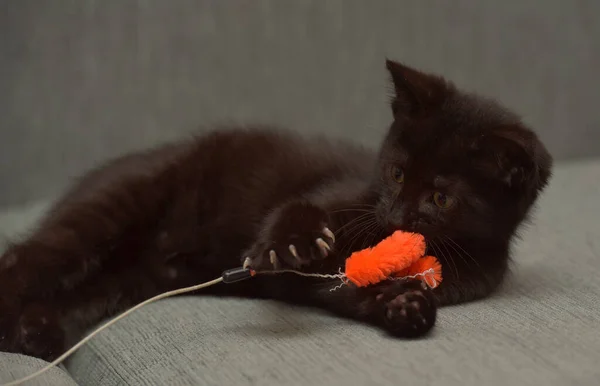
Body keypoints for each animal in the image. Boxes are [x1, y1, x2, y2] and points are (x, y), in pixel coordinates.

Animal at [0, 59, 552, 358]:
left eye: (440, 198)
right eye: (396, 174)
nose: (395, 218)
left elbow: (352, 293)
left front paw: (406, 307)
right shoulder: (342, 195)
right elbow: (296, 207)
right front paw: (289, 243)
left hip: (123, 281)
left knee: (75, 295)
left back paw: (38, 333)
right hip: (113, 206)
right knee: (25, 259)